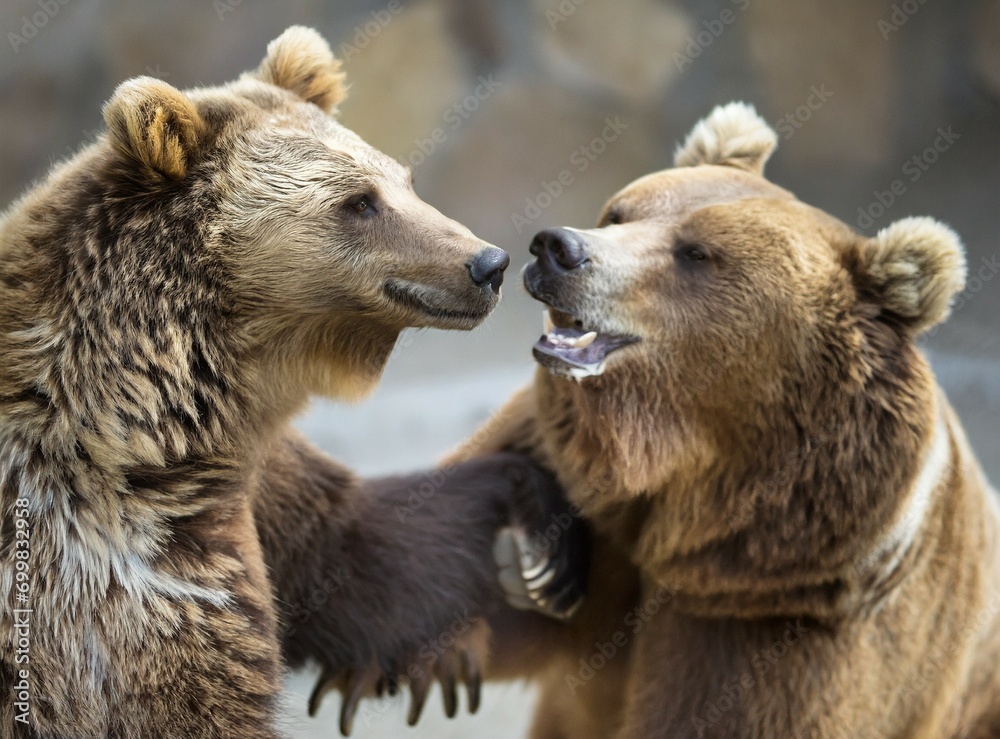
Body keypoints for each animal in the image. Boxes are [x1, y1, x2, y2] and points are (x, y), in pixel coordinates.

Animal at [0, 26, 584, 739]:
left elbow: (362, 553)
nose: (487, 263)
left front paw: (544, 534)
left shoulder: (245, 481)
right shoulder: (111, 572)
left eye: (406, 179)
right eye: (358, 202)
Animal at [309, 103, 1000, 738]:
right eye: (622, 213)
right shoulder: (571, 465)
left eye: (696, 253)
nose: (557, 249)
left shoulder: (779, 614)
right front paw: (528, 568)